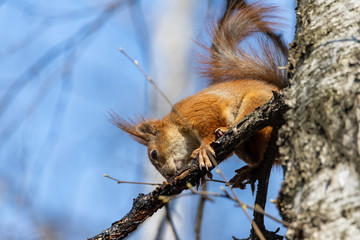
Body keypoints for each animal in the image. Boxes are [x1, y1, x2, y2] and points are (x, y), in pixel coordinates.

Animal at [109, 2, 286, 184]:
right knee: (257, 159)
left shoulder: (195, 110)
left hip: (256, 100)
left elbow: (209, 122)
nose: (169, 176)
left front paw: (204, 148)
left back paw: (226, 130)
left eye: (154, 153)